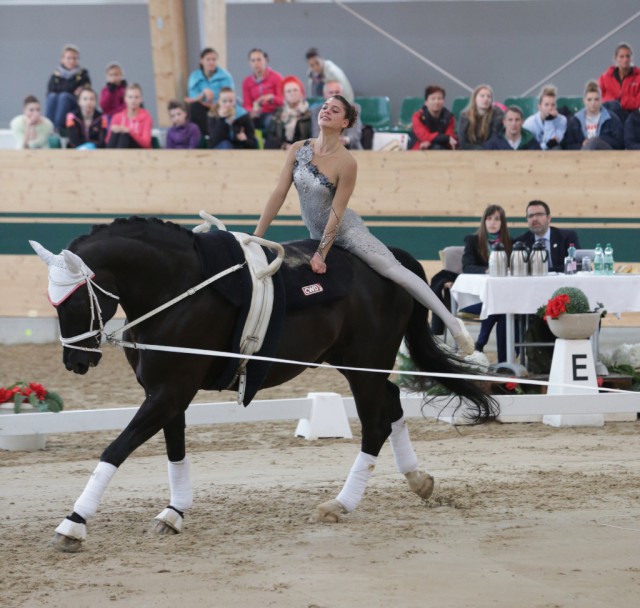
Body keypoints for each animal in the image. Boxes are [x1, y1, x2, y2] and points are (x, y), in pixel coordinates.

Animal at [32, 217, 498, 552]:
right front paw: (174, 513)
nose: (75, 361)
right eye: (53, 302)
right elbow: (174, 450)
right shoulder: (166, 393)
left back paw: (341, 503)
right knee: (392, 401)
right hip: (355, 364)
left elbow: (115, 450)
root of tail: (393, 259)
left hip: (364, 364)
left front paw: (73, 524)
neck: (180, 289)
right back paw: (417, 479)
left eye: (74, 300)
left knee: (376, 423)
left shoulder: (170, 392)